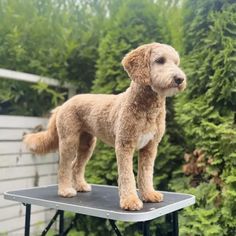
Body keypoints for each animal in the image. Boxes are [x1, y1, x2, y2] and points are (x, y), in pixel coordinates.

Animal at [24, 42, 186, 210]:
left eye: (176, 63)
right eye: (160, 60)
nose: (180, 79)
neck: (147, 108)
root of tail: (63, 105)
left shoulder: (150, 146)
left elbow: (146, 173)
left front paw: (149, 194)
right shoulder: (124, 145)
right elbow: (127, 175)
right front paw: (130, 201)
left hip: (87, 144)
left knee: (76, 165)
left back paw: (81, 186)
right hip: (69, 140)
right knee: (64, 166)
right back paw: (66, 190)